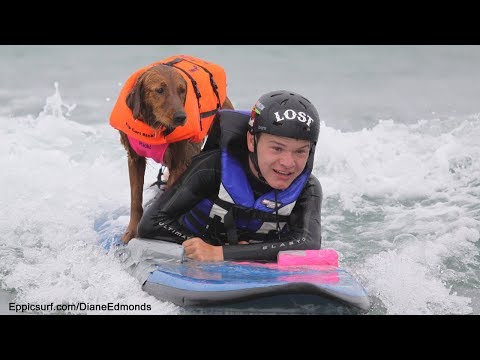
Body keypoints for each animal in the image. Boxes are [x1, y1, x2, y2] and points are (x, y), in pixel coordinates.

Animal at [110, 54, 234, 243]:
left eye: (182, 90)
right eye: (160, 90)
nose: (181, 117)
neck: (153, 126)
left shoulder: (180, 163)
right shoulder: (134, 158)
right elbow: (135, 200)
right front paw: (131, 232)